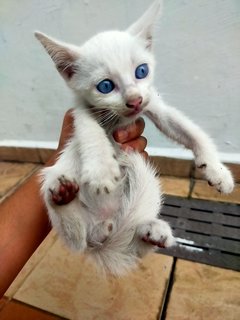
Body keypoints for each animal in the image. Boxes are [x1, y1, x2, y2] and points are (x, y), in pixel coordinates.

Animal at [34, 0, 233, 276]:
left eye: (142, 71)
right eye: (105, 86)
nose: (134, 100)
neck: (118, 119)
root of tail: (104, 230)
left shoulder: (154, 104)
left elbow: (188, 130)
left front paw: (217, 171)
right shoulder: (79, 111)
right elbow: (90, 132)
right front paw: (102, 171)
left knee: (135, 244)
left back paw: (153, 232)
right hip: (59, 197)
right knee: (76, 238)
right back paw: (63, 196)